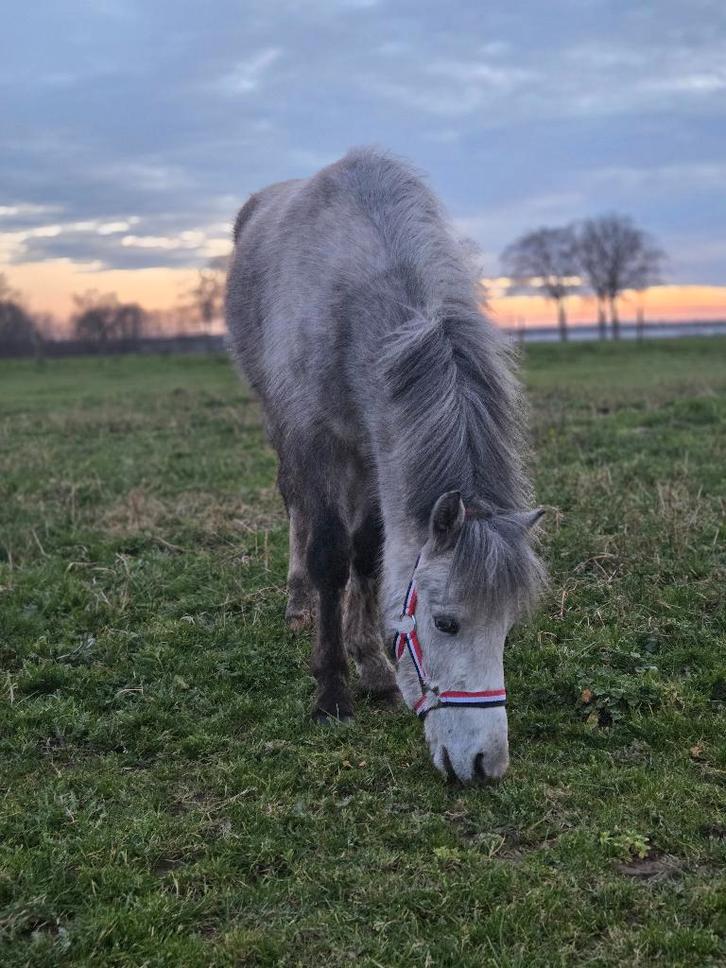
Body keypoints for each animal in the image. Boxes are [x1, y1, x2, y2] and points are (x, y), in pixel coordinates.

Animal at [225, 147, 545, 783]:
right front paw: (331, 694)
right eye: (445, 623)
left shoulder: (379, 451)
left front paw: (371, 665)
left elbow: (370, 551)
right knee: (295, 503)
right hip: (285, 428)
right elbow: (330, 557)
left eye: (506, 626)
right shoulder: (316, 439)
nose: (484, 765)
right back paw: (297, 602)